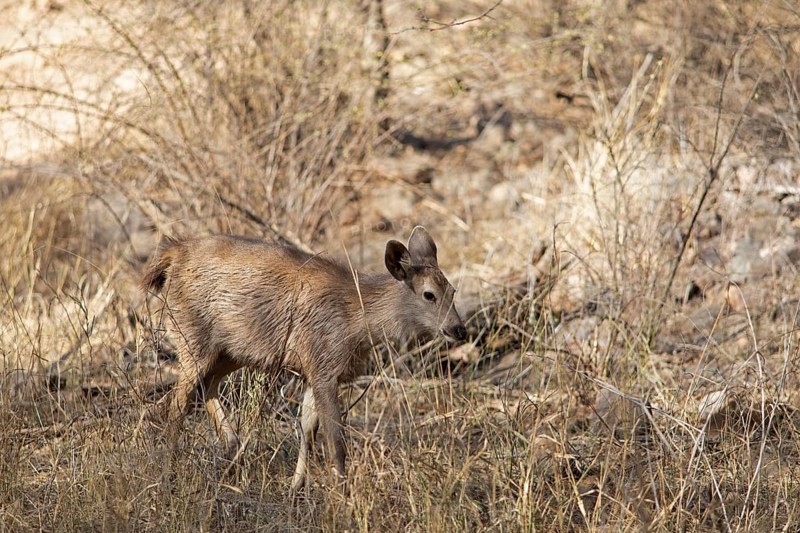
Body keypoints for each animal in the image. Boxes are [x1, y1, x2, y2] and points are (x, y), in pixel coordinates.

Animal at [141, 226, 466, 490]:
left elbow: (308, 430)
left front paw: (296, 485)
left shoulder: (315, 368)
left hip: (232, 349)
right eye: (428, 294)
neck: (357, 320)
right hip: (192, 336)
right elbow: (335, 440)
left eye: (452, 290)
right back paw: (168, 473)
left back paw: (233, 449)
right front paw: (342, 492)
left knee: (205, 387)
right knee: (175, 406)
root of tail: (172, 254)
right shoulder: (324, 364)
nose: (459, 329)